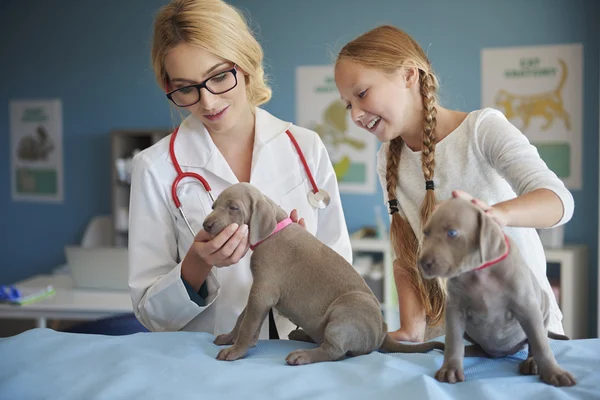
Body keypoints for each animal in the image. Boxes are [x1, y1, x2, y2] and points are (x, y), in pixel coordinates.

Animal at [204, 183, 442, 364]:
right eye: (213, 205)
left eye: (233, 207)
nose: (206, 225)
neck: (273, 231)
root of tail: (382, 332)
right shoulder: (259, 293)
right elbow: (242, 318)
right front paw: (229, 337)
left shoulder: (263, 291)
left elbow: (248, 324)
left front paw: (236, 350)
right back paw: (300, 334)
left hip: (346, 309)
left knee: (335, 350)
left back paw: (302, 355)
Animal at [418, 196, 576, 384]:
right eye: (426, 233)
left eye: (452, 233)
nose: (422, 263)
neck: (479, 272)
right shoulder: (455, 309)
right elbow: (453, 341)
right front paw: (450, 369)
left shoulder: (527, 307)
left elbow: (540, 343)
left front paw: (554, 372)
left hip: (543, 308)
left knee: (536, 339)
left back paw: (532, 362)